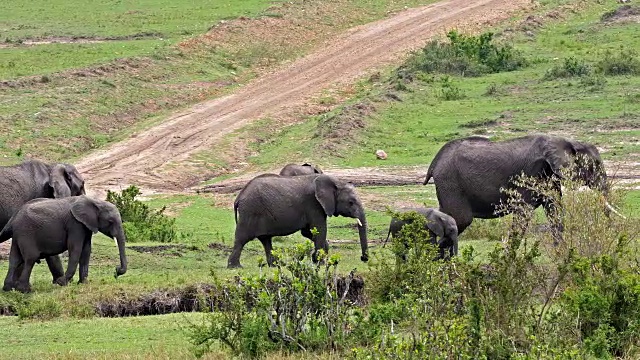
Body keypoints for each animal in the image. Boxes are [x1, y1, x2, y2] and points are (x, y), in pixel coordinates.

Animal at [230, 173, 370, 268]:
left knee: (266, 240)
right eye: (351, 202)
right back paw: (236, 267)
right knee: (241, 239)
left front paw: (317, 259)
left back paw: (276, 265)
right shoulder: (314, 205)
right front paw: (321, 262)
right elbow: (320, 230)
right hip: (250, 211)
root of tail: (239, 197)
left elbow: (309, 232)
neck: (335, 181)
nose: (363, 258)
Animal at [422, 135, 608, 236]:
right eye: (596, 165)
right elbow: (523, 213)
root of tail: (434, 163)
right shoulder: (530, 174)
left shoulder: (549, 176)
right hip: (450, 182)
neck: (565, 141)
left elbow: (555, 210)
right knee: (460, 219)